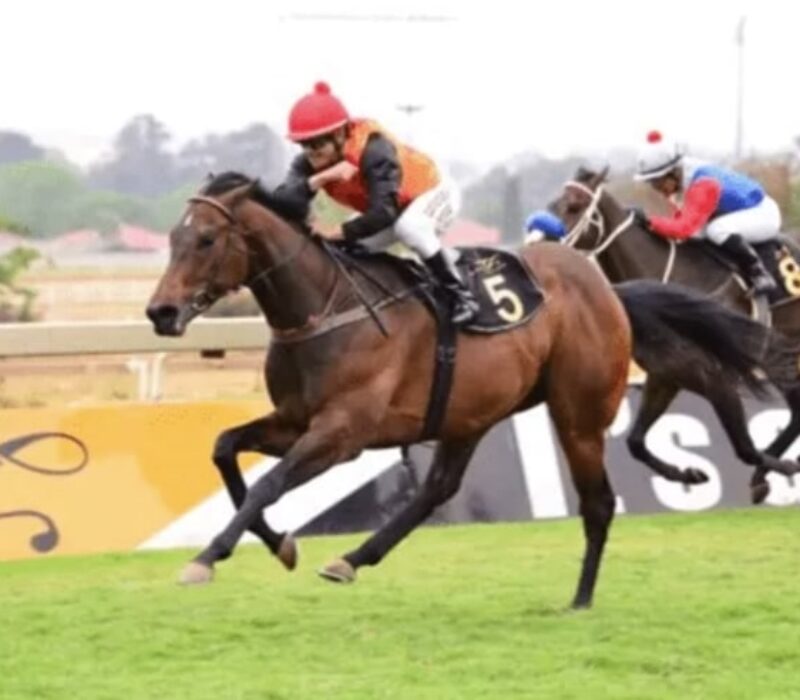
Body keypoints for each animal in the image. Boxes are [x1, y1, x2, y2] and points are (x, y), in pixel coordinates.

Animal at [548, 166, 800, 502]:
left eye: (574, 206)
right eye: (553, 202)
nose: (539, 239)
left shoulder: (715, 376)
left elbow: (745, 448)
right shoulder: (666, 376)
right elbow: (635, 442)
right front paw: (688, 474)